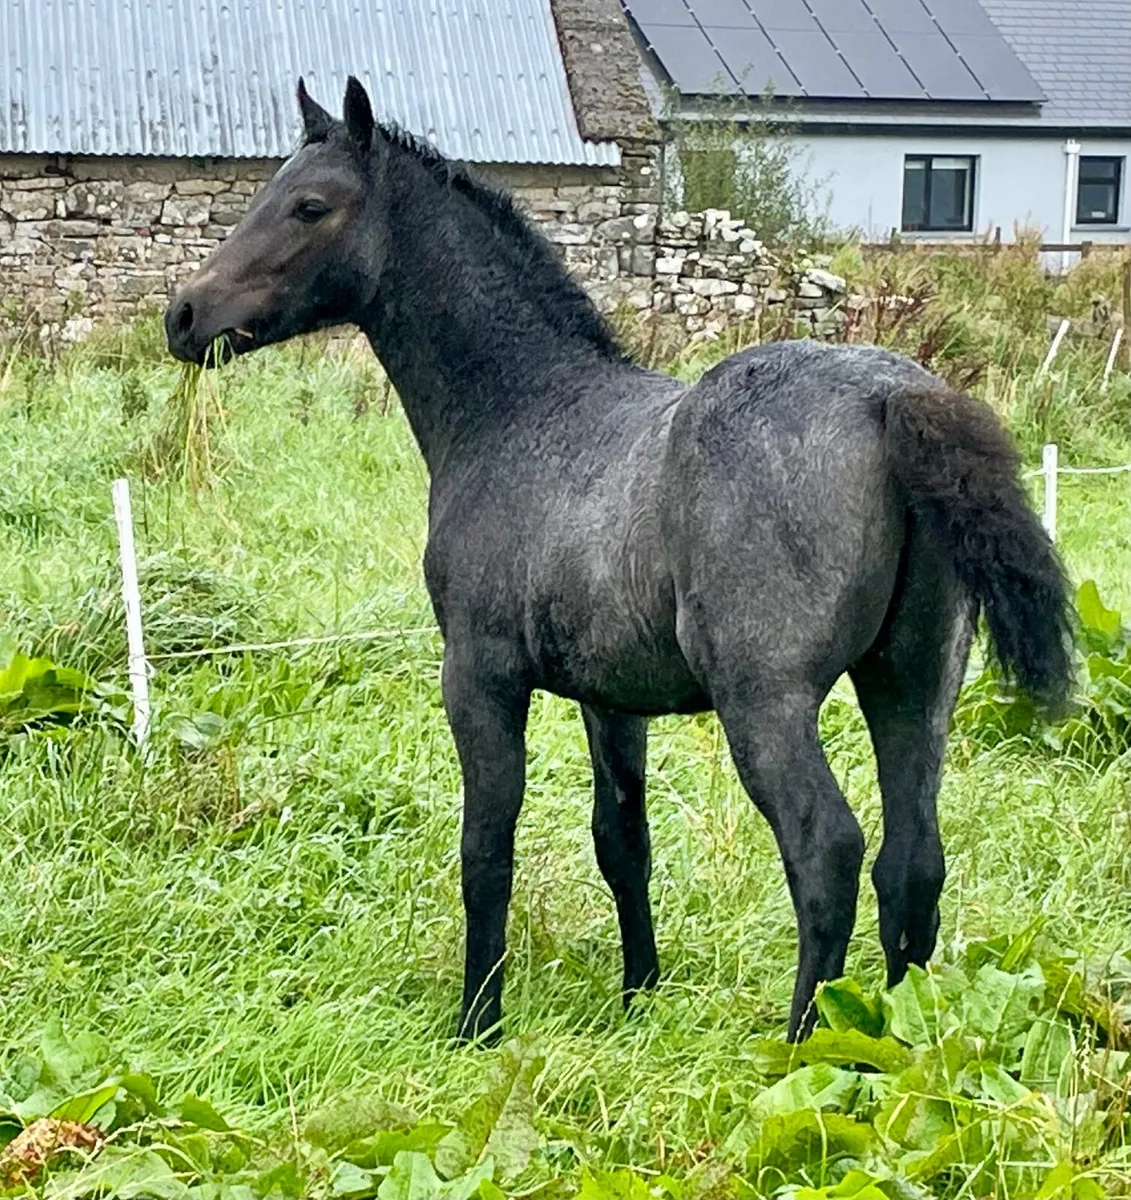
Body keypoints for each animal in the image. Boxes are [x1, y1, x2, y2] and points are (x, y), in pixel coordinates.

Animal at [164, 76, 1072, 1044]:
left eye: (309, 205)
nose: (183, 316)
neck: (522, 410)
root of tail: (891, 397)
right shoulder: (611, 699)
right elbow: (621, 839)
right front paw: (640, 993)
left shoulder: (479, 674)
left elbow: (486, 846)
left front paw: (478, 1022)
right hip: (911, 684)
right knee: (912, 862)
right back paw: (886, 1042)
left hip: (767, 701)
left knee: (826, 849)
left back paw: (802, 1042)